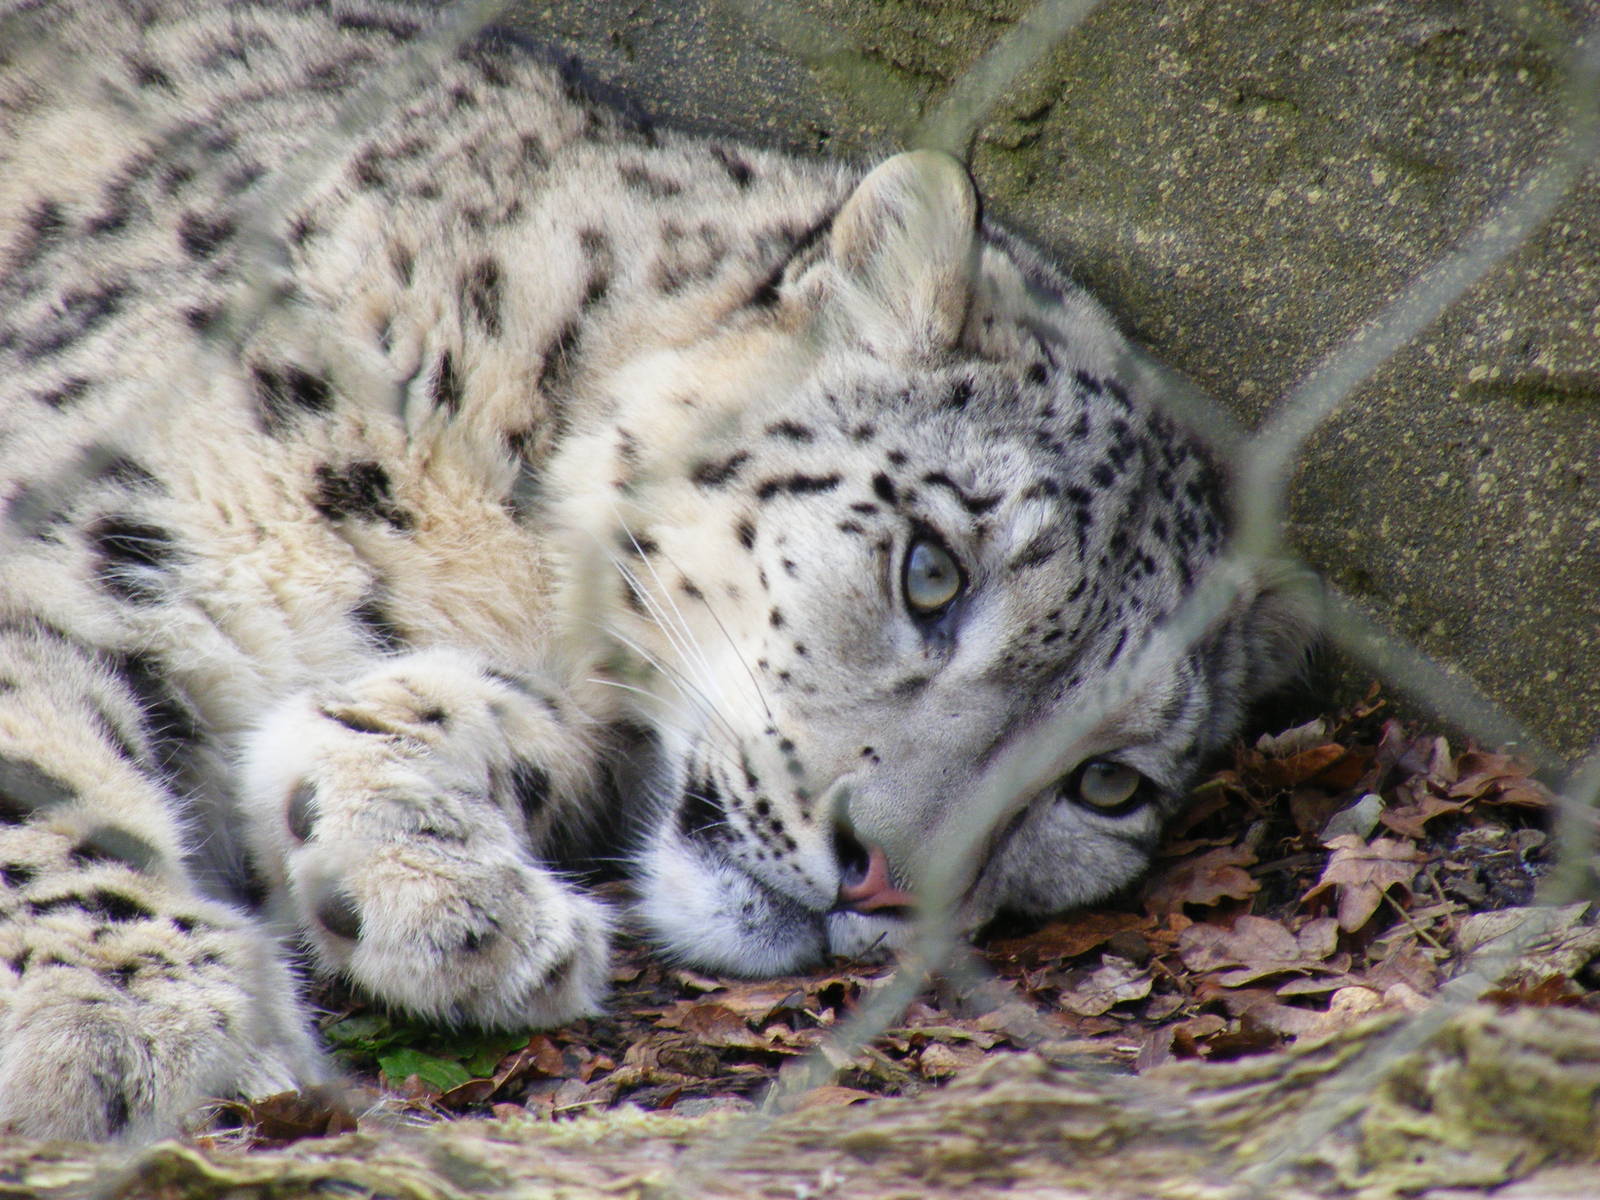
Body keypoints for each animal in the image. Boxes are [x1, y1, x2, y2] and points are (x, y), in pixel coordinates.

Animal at [0, 0, 1316, 1140]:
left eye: (1108, 785)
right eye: (931, 572)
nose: (883, 881)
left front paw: (451, 897)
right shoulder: (83, 519)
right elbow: (38, 772)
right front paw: (124, 1022)